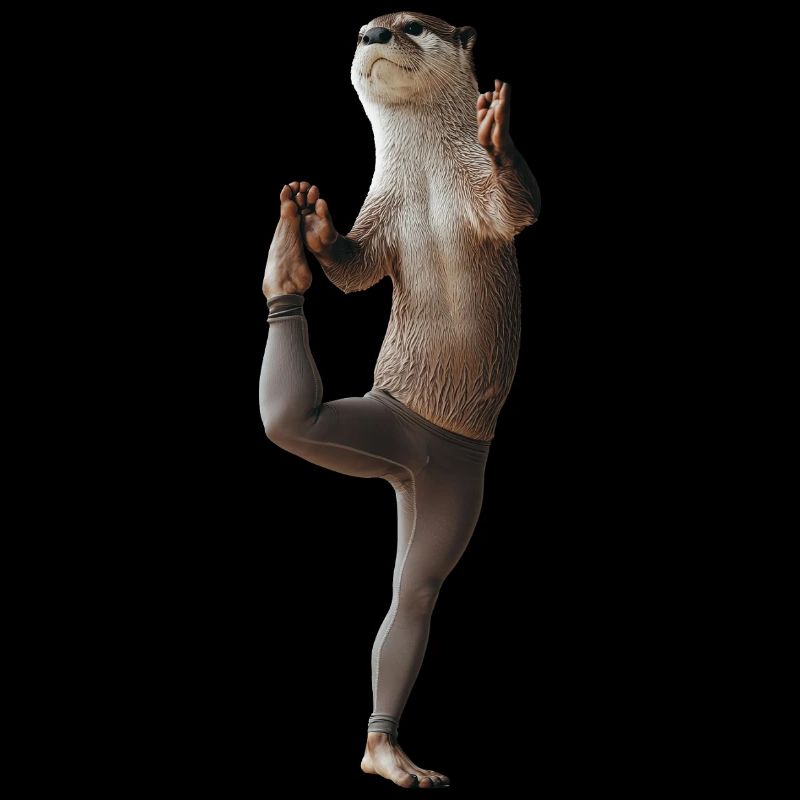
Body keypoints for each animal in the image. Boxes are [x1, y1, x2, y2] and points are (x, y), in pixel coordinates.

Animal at [260, 11, 540, 789]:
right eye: (364, 27)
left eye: (411, 24)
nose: (372, 35)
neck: (428, 187)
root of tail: (416, 450)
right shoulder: (380, 215)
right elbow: (354, 269)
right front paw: (317, 225)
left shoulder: (481, 201)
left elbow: (519, 204)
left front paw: (498, 130)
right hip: (386, 431)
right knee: (293, 419)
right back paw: (286, 259)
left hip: (445, 485)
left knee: (410, 591)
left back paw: (386, 754)